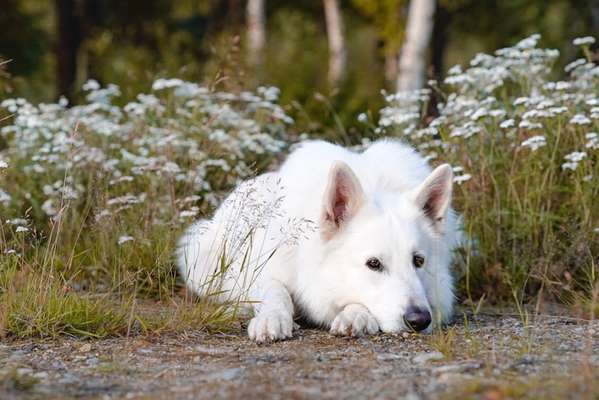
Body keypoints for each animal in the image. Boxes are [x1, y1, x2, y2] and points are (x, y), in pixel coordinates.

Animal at [177, 139, 460, 342]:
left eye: (418, 261)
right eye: (374, 264)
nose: (420, 320)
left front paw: (355, 315)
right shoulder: (258, 270)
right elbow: (275, 290)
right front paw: (272, 318)